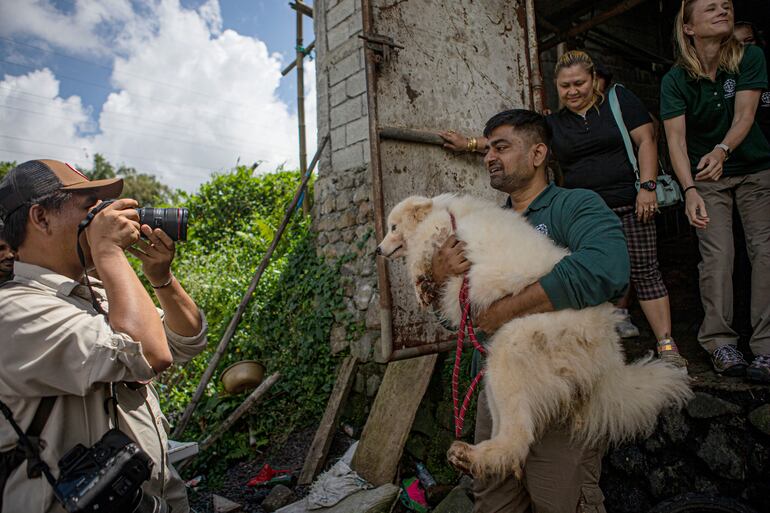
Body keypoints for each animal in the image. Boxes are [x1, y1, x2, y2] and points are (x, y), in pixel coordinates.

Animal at [376, 194, 688, 478]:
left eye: (393, 227)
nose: (377, 250)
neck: (449, 211)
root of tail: (609, 353)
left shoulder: (441, 230)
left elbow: (420, 254)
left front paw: (421, 287)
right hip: (499, 371)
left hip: (509, 352)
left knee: (519, 436)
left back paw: (474, 456)